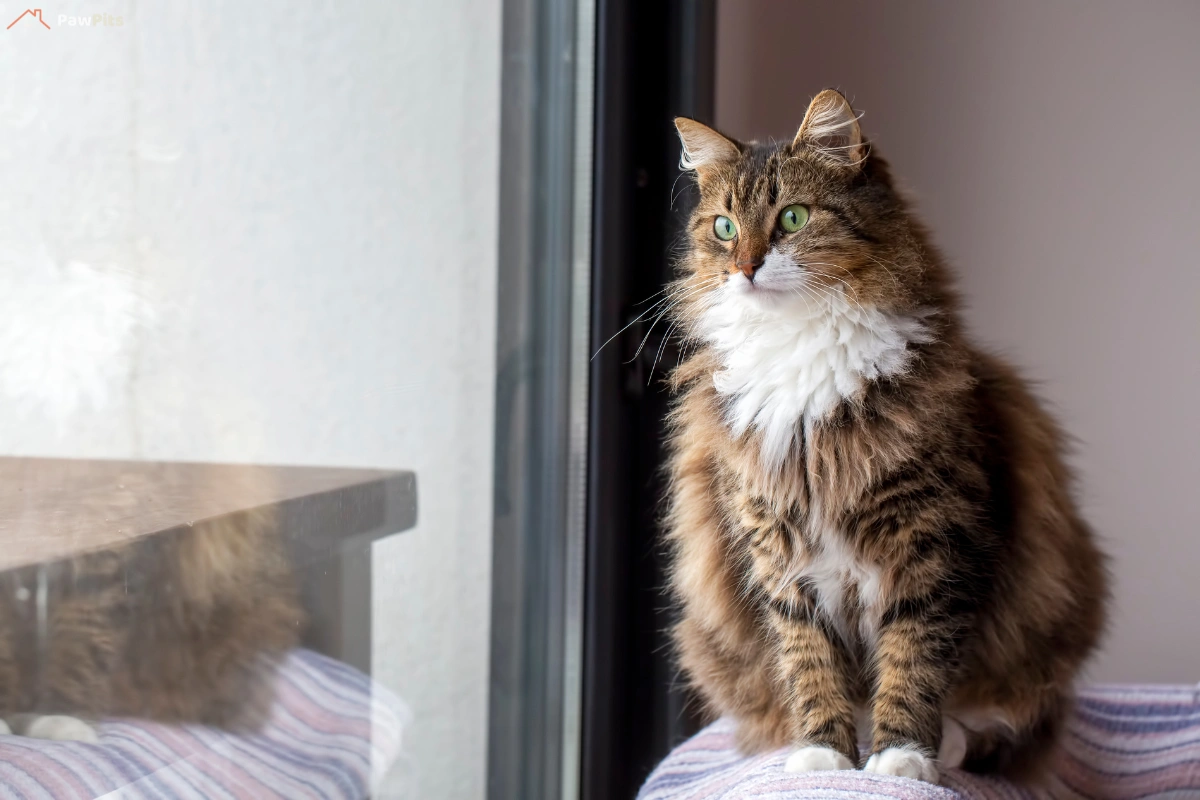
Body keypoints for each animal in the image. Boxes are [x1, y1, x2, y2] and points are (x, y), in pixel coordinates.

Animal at [667, 89, 1104, 782]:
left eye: (792, 218)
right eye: (725, 228)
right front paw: (824, 758)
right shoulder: (779, 550)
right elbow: (809, 661)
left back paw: (946, 747)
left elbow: (912, 660)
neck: (803, 352)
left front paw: (900, 758)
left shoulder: (934, 544)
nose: (745, 268)